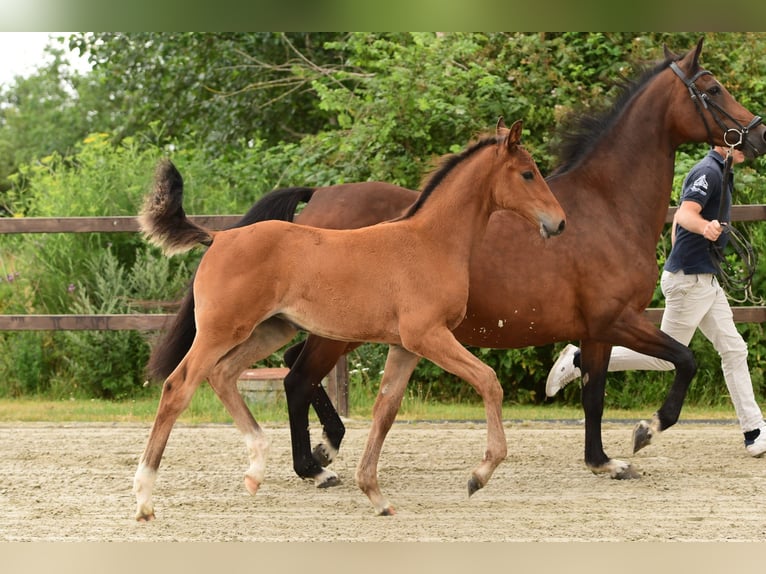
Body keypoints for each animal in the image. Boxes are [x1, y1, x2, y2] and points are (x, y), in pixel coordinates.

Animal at [133, 119, 566, 520]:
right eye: (527, 173)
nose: (559, 222)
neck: (431, 242)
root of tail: (219, 237)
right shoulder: (428, 336)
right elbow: (488, 381)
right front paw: (479, 474)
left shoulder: (405, 346)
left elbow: (385, 410)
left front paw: (375, 495)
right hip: (222, 330)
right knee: (179, 387)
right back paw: (144, 498)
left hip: (271, 330)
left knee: (222, 375)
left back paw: (257, 468)